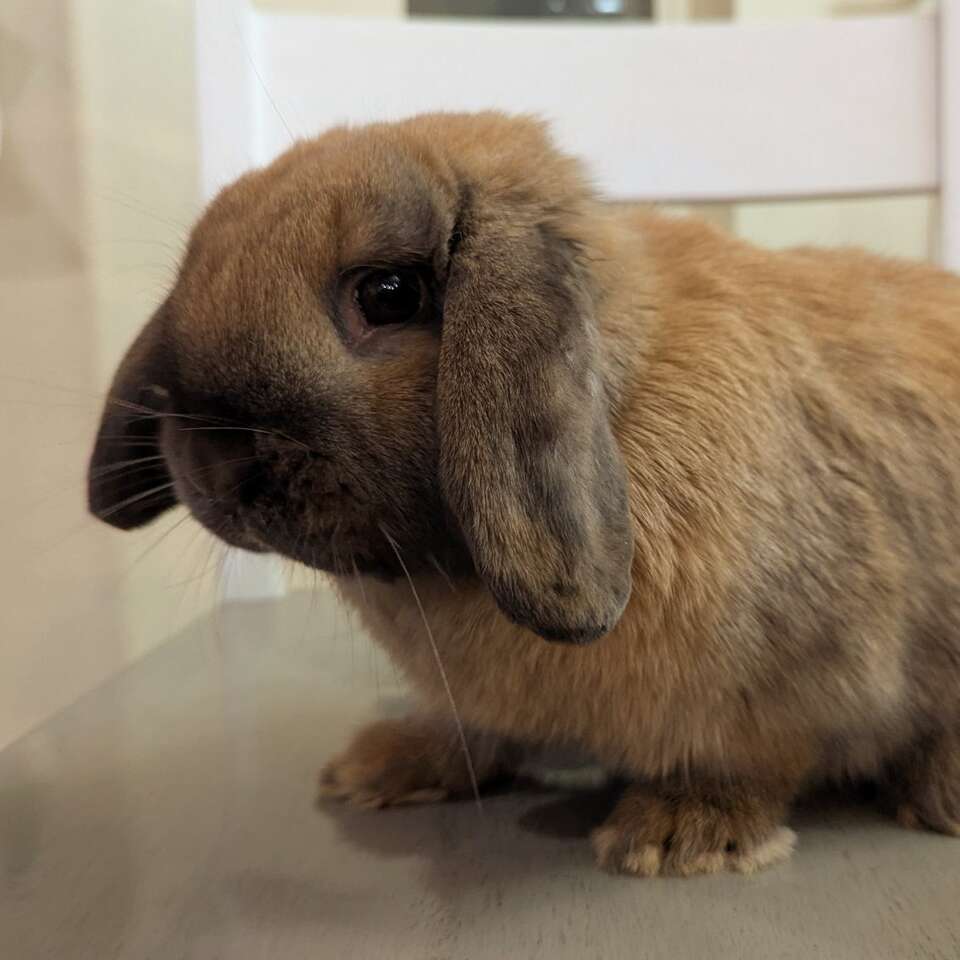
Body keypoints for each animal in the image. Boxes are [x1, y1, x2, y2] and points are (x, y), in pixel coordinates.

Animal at [86, 112, 960, 876]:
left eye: (389, 293)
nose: (212, 462)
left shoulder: (803, 679)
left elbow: (752, 759)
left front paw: (677, 836)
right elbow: (472, 732)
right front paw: (383, 768)